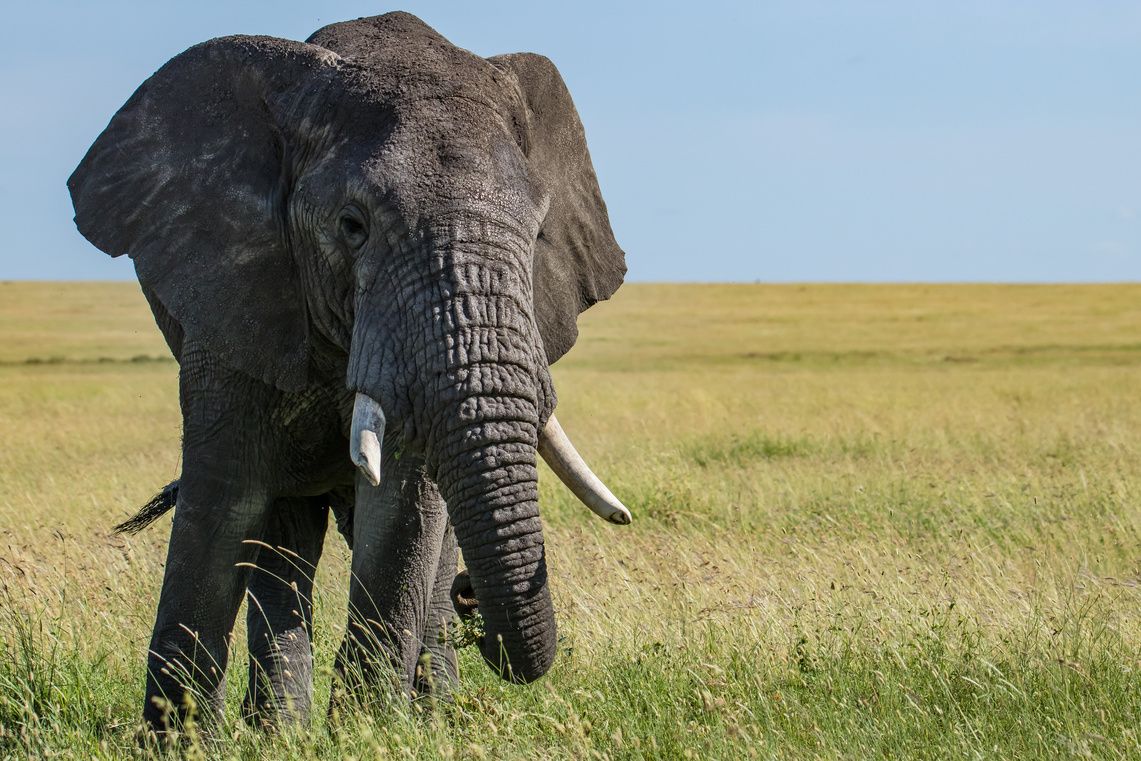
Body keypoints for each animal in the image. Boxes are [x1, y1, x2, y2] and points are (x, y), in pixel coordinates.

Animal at [67, 11, 631, 734]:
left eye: (537, 237)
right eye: (352, 225)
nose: (473, 597)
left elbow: (403, 515)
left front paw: (372, 732)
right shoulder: (233, 304)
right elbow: (221, 497)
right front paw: (179, 738)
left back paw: (424, 714)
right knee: (282, 537)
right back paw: (278, 727)